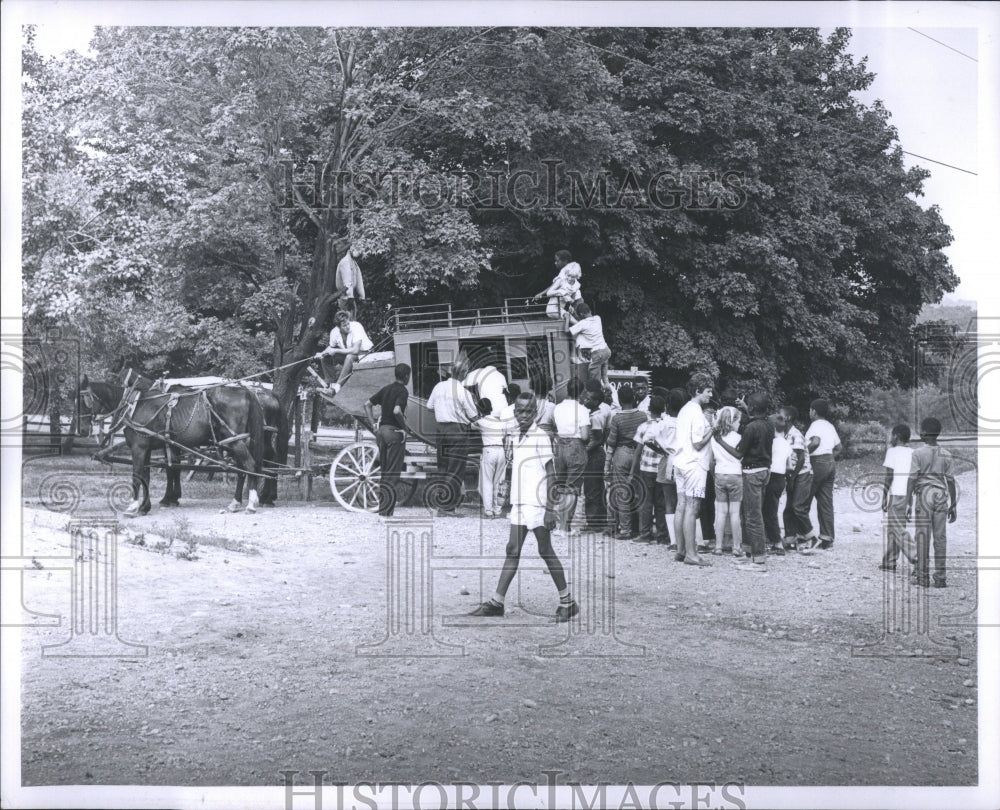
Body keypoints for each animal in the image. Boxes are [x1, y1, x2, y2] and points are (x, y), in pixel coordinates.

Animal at [75, 370, 270, 512]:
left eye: (84, 401)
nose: (82, 430)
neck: (135, 405)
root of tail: (246, 392)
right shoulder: (148, 448)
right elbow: (148, 476)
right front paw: (146, 506)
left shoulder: (139, 447)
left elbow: (139, 475)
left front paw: (135, 506)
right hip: (232, 442)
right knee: (241, 470)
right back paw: (236, 502)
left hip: (236, 442)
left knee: (250, 466)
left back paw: (251, 503)